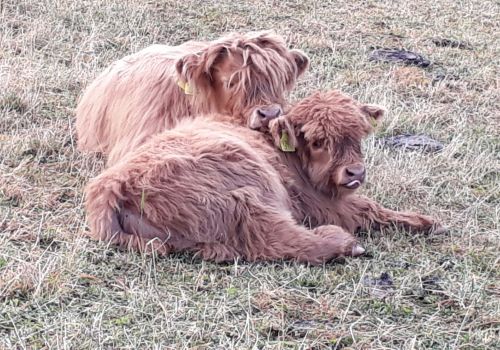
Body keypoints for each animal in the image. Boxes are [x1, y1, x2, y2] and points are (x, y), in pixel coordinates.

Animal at [84, 90, 444, 266]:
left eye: (358, 135)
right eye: (317, 141)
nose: (354, 172)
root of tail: (112, 187)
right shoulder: (322, 204)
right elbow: (368, 207)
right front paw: (427, 221)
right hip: (251, 198)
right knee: (282, 241)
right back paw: (345, 244)